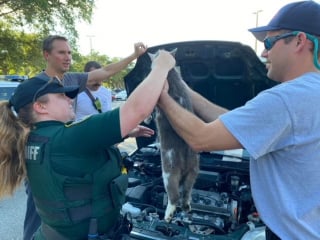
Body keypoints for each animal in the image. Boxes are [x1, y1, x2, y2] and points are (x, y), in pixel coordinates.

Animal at [148, 49, 199, 223]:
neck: (169, 73)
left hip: (169, 172)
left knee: (174, 196)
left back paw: (168, 215)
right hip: (193, 171)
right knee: (187, 191)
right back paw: (187, 206)